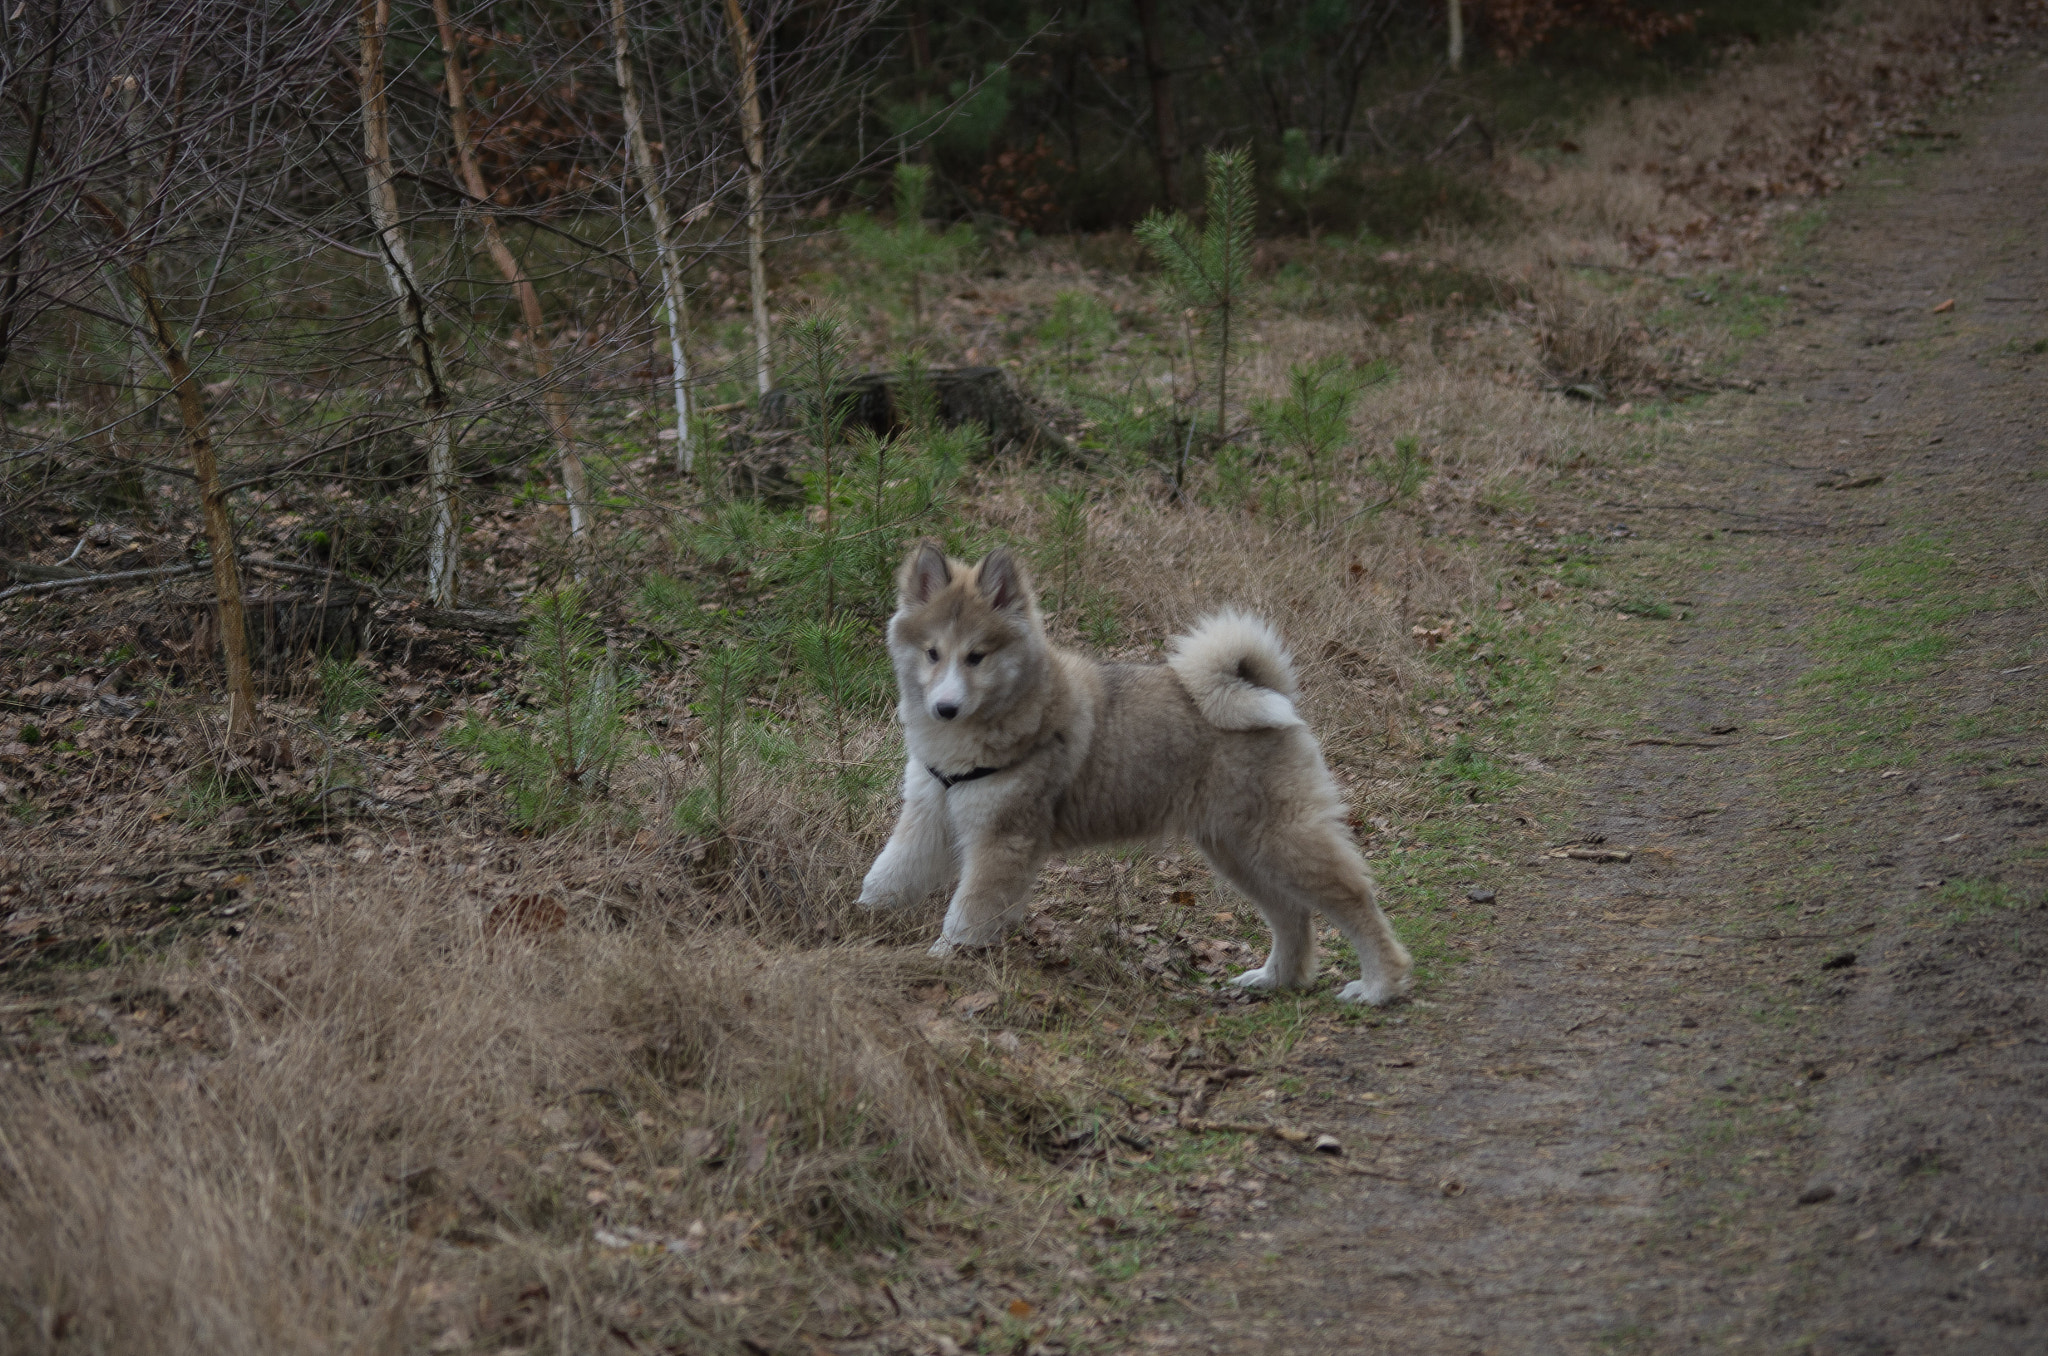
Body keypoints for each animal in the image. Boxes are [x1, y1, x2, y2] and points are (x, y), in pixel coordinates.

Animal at [856, 544, 1417, 1007]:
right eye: (932, 653)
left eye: (976, 657)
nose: (945, 708)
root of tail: (1267, 692)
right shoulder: (927, 820)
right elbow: (884, 879)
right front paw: (852, 930)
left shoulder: (1001, 842)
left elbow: (964, 916)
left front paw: (940, 962)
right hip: (1237, 848)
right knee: (1290, 914)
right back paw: (1276, 979)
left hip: (1281, 839)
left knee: (1354, 900)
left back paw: (1379, 985)